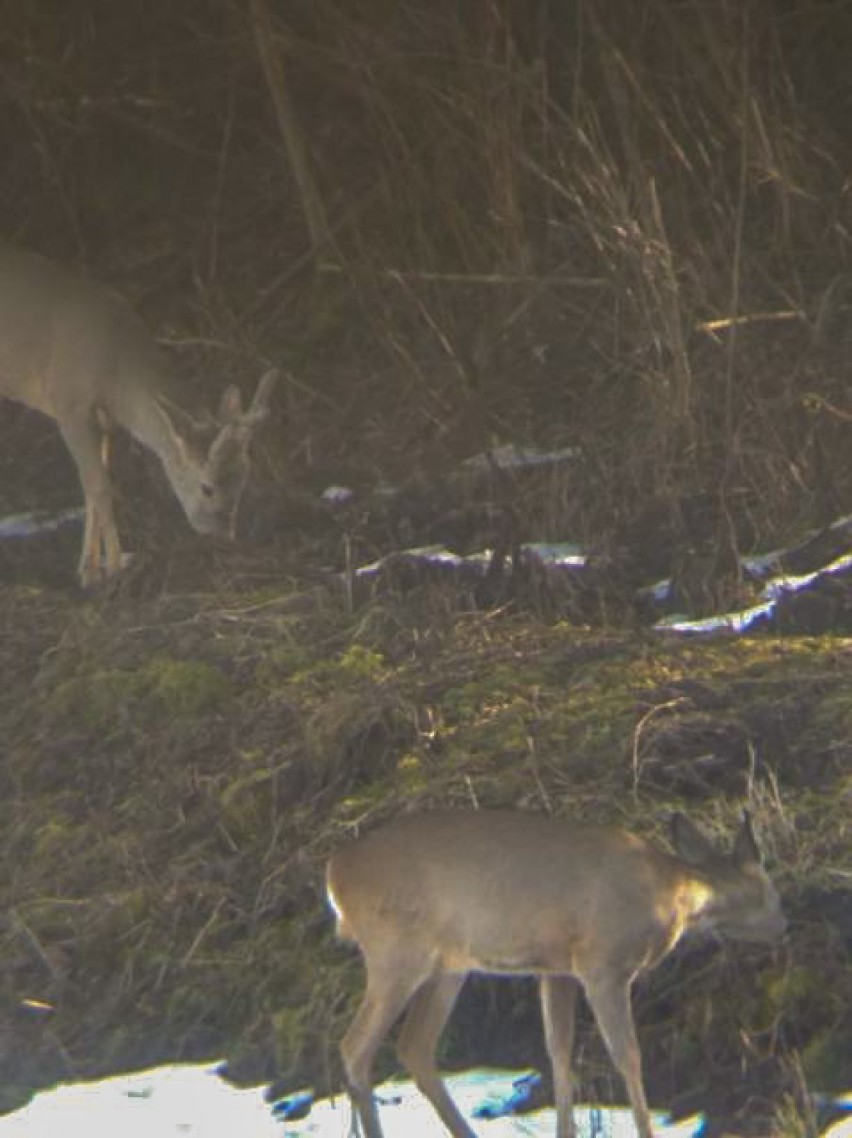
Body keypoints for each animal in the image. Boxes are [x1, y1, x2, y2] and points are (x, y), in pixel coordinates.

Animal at [0, 242, 274, 587]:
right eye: (206, 487)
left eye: (243, 482)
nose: (223, 538)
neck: (115, 372)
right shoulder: (69, 404)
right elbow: (101, 488)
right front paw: (115, 570)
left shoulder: (105, 422)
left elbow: (94, 489)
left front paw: (91, 568)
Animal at [323, 805, 782, 1138]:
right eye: (768, 889)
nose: (784, 924)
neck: (676, 896)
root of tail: (334, 873)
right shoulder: (603, 964)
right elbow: (627, 1055)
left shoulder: (557, 968)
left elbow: (559, 1053)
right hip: (396, 952)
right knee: (355, 1046)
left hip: (447, 965)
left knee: (414, 1046)